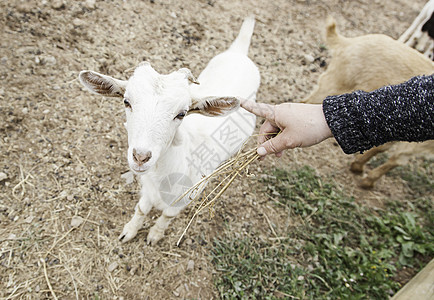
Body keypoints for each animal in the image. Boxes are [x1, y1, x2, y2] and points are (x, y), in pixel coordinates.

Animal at [78, 17, 260, 244]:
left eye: (181, 113)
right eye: (126, 101)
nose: (140, 157)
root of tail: (240, 52)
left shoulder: (186, 198)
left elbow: (167, 216)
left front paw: (155, 235)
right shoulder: (147, 189)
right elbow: (141, 209)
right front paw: (129, 231)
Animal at [302, 15, 434, 188]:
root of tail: (350, 42)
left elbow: (386, 148)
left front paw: (358, 166)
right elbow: (397, 158)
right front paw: (366, 179)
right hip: (335, 82)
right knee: (305, 102)